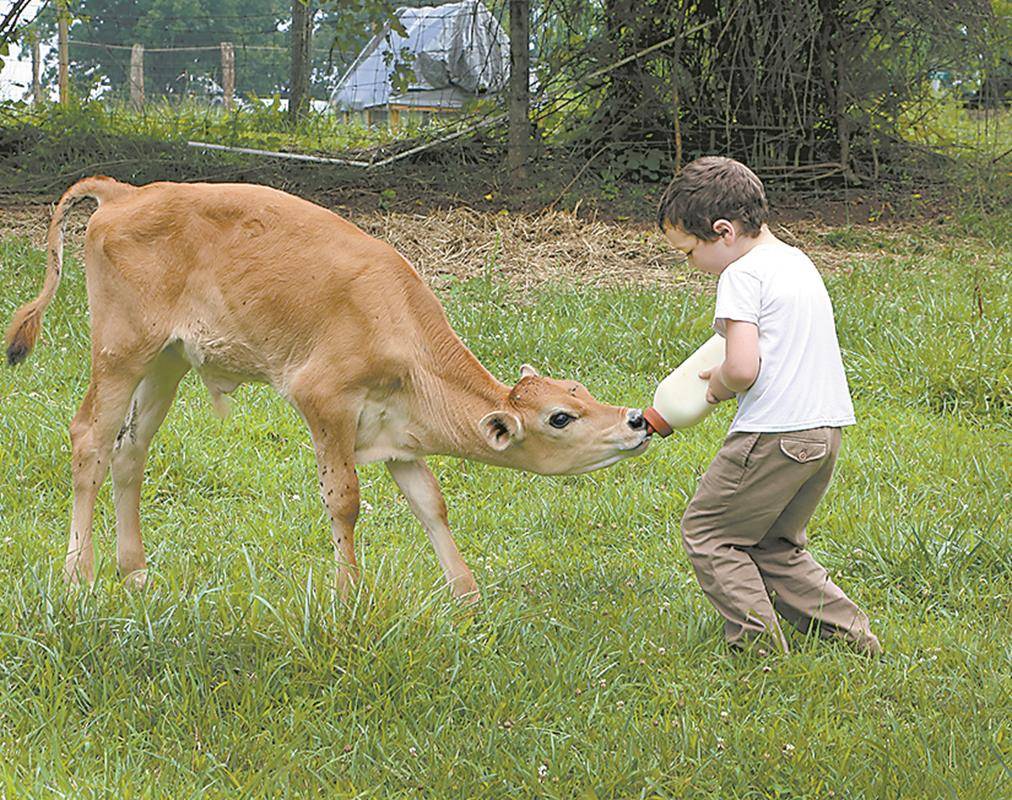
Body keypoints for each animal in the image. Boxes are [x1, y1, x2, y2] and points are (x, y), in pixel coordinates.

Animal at [5, 177, 651, 600]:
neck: (400, 329)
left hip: (168, 360)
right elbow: (344, 500)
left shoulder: (399, 436)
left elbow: (431, 503)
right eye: (561, 417)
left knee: (130, 450)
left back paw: (136, 572)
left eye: (580, 388)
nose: (637, 419)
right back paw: (79, 575)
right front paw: (348, 595)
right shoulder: (324, 402)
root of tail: (127, 192)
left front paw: (465, 595)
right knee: (89, 438)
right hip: (121, 350)